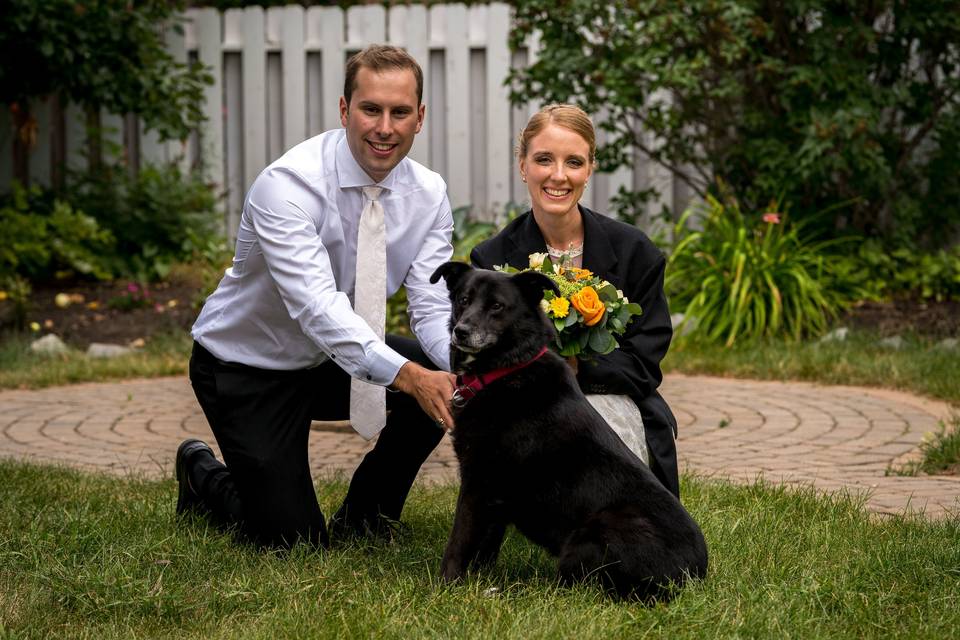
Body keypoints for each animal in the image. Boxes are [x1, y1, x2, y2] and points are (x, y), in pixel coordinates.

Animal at [432, 262, 708, 600]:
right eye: (463, 300)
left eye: (497, 306)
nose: (461, 331)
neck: (508, 369)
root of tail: (692, 580)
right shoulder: (495, 494)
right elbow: (484, 545)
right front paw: (476, 580)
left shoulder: (479, 481)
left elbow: (459, 541)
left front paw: (445, 586)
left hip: (593, 533)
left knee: (577, 589)